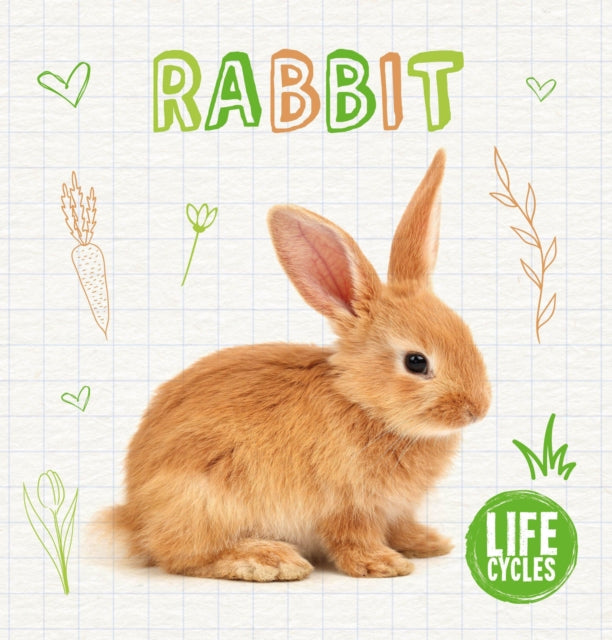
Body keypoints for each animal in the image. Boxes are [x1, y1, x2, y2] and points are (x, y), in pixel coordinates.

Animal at [109, 149, 491, 582]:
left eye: (466, 333)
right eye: (416, 362)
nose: (477, 409)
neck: (363, 404)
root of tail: (134, 517)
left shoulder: (393, 509)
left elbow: (400, 525)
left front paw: (428, 543)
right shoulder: (346, 505)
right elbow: (352, 539)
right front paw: (385, 564)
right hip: (204, 496)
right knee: (183, 555)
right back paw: (269, 559)